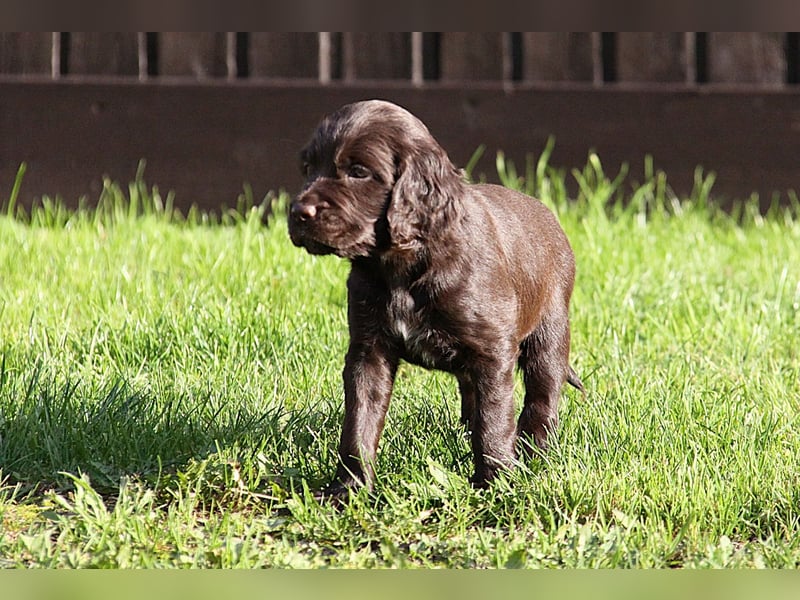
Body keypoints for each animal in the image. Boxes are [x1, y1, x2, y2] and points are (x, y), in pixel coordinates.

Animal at [288, 99, 580, 496]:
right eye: (308, 168)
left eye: (359, 171)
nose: (298, 213)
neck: (402, 266)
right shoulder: (368, 350)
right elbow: (359, 422)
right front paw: (349, 491)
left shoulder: (492, 351)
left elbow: (494, 420)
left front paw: (495, 484)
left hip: (550, 331)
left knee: (542, 398)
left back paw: (533, 451)